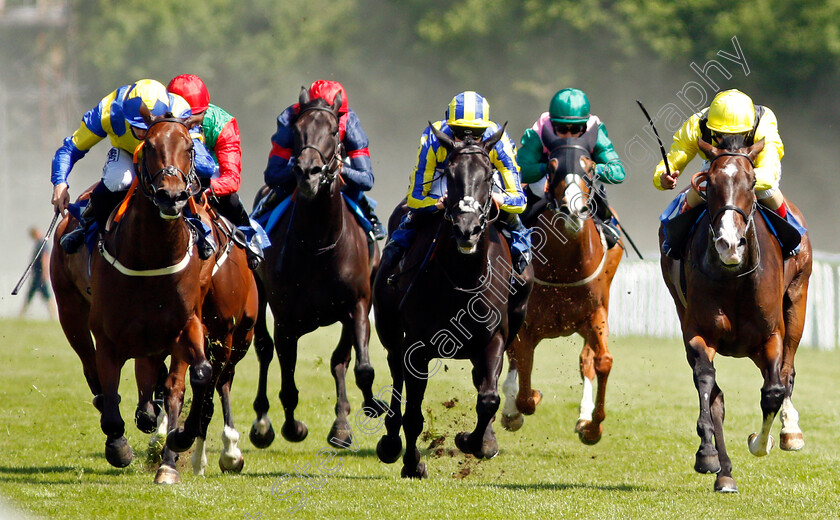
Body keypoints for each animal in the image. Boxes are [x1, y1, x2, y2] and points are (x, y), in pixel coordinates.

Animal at [246, 87, 384, 448]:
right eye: (296, 131)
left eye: (334, 131)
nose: (308, 172)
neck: (319, 246)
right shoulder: (285, 318)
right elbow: (288, 384)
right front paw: (292, 427)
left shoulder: (358, 303)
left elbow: (358, 366)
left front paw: (356, 415)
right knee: (264, 349)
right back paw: (262, 423)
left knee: (340, 361)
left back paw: (342, 423)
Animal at [374, 125, 532, 480]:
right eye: (450, 174)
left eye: (488, 175)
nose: (467, 229)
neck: (463, 279)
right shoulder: (417, 346)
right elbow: (413, 413)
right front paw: (413, 463)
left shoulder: (494, 338)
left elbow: (488, 398)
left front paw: (473, 442)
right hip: (389, 330)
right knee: (395, 375)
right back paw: (390, 443)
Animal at [498, 136, 624, 444]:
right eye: (553, 168)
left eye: (589, 168)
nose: (574, 210)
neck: (565, 267)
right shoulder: (526, 324)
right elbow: (524, 385)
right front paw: (520, 404)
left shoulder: (595, 314)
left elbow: (602, 361)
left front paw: (592, 426)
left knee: (585, 360)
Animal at [660, 135, 812, 492]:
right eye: (710, 183)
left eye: (752, 181)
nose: (729, 244)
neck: (733, 279)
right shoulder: (698, 332)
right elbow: (707, 383)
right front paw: (707, 455)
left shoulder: (771, 336)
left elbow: (773, 391)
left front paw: (761, 441)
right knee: (716, 394)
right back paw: (724, 472)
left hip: (796, 303)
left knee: (787, 373)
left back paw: (790, 432)